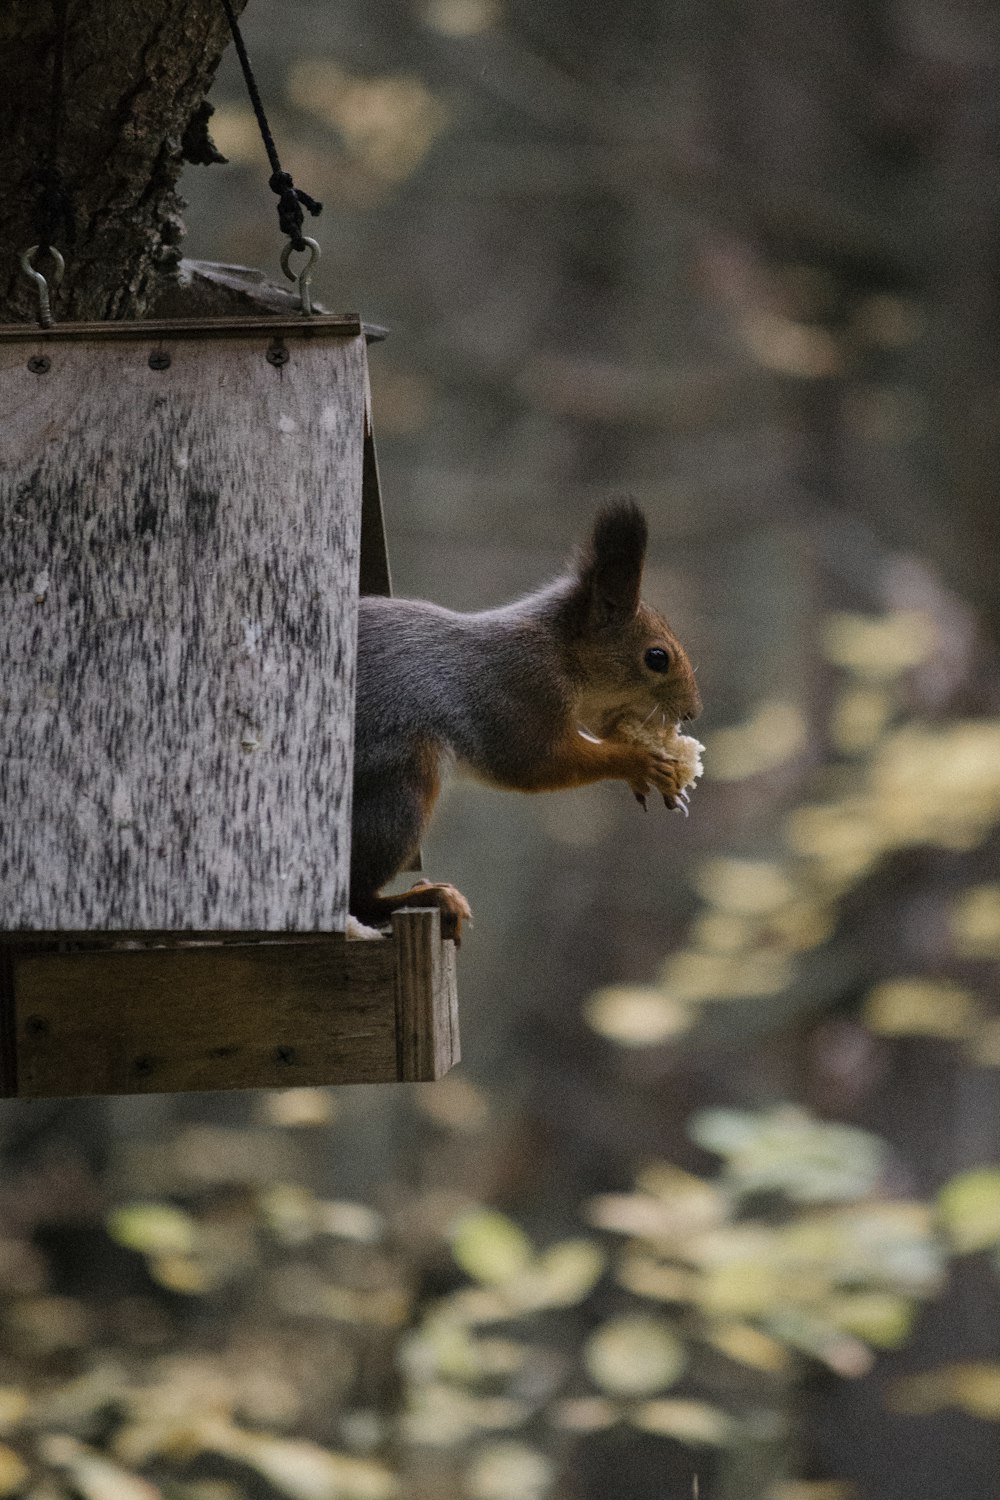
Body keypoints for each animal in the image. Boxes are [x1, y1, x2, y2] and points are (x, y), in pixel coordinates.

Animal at [352, 504, 704, 948]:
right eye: (657, 657)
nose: (693, 711)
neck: (560, 652)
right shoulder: (521, 691)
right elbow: (535, 764)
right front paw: (640, 762)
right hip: (399, 788)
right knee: (359, 898)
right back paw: (426, 898)